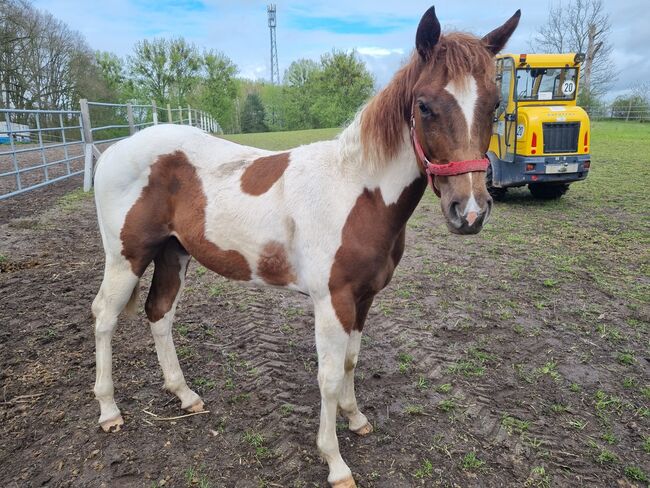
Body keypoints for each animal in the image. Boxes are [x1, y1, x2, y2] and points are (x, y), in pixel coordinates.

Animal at [90, 5, 516, 486]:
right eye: (424, 106)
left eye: (494, 104)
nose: (470, 211)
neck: (358, 192)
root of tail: (114, 149)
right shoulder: (333, 301)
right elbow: (328, 376)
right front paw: (335, 463)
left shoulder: (363, 298)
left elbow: (351, 361)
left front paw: (356, 418)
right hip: (126, 257)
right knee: (104, 317)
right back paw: (109, 410)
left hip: (172, 252)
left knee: (159, 313)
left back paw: (185, 395)